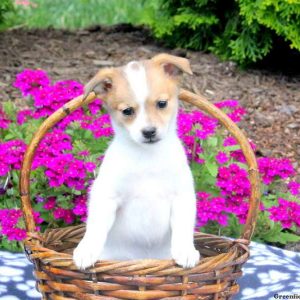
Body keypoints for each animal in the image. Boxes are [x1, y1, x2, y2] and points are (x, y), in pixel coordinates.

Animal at [72, 52, 199, 268]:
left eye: (162, 103)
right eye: (127, 111)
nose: (149, 132)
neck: (147, 157)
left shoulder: (182, 196)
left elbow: (183, 228)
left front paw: (186, 251)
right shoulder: (106, 196)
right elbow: (95, 226)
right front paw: (86, 250)